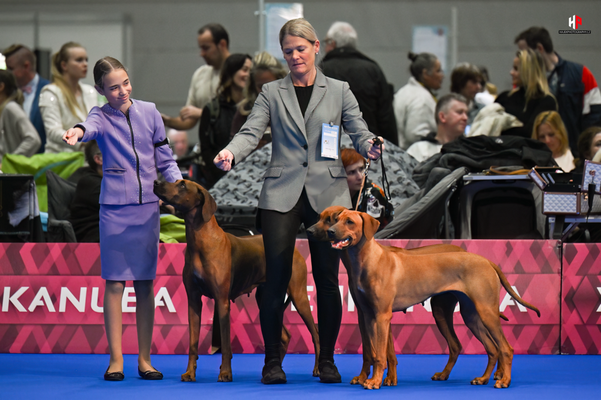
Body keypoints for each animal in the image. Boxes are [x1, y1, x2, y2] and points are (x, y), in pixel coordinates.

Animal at [152, 180, 318, 382]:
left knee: (316, 334)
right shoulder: (193, 300)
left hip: (299, 296)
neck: (200, 240)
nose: (156, 182)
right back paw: (273, 369)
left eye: (182, 185)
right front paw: (190, 372)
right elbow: (192, 343)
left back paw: (317, 369)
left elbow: (225, 344)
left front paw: (225, 372)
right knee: (285, 336)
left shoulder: (222, 301)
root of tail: (293, 248)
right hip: (266, 297)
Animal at [304, 208, 540, 390]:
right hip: (468, 314)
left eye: (349, 221)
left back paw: (504, 380)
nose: (330, 232)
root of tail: (486, 260)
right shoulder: (367, 316)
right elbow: (370, 353)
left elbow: (379, 354)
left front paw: (375, 382)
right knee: (490, 348)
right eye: (335, 220)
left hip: (486, 312)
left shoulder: (381, 316)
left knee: (505, 349)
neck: (366, 259)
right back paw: (482, 379)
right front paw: (368, 378)